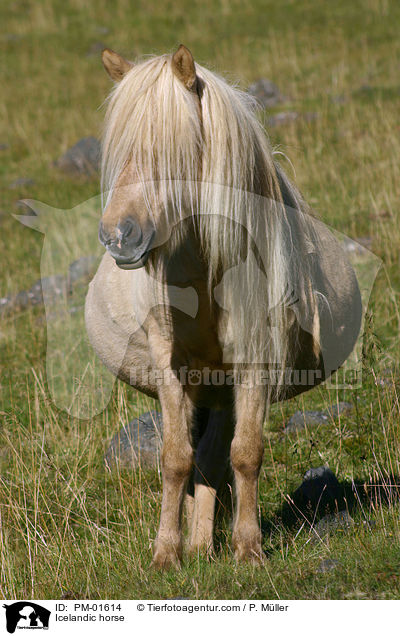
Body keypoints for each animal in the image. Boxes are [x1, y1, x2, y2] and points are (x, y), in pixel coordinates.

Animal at [85, 46, 362, 572]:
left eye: (171, 150)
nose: (118, 236)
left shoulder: (255, 358)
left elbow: (245, 453)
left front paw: (248, 548)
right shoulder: (170, 364)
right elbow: (175, 458)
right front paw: (165, 555)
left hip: (222, 391)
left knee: (214, 458)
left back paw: (204, 544)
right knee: (199, 459)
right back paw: (194, 544)